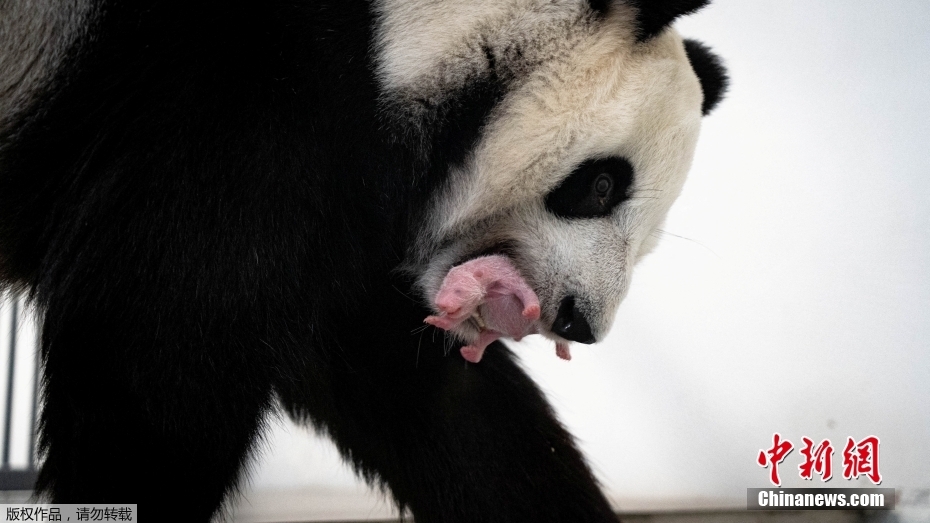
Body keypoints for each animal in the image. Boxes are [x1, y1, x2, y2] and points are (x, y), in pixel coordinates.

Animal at [0, 0, 726, 521]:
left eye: (647, 242)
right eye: (601, 185)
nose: (581, 321)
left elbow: (418, 388)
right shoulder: (230, 100)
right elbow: (157, 359)